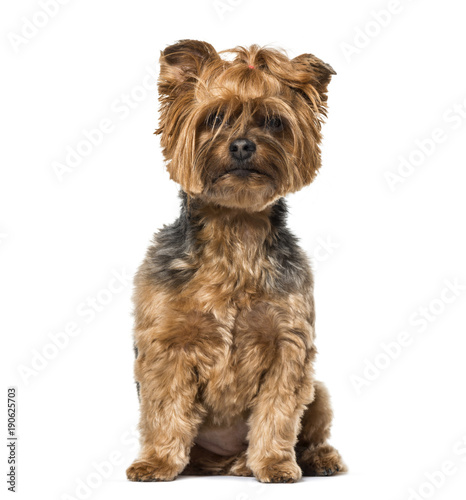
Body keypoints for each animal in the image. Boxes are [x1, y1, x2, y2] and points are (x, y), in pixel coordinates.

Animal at [125, 41, 344, 482]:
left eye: (274, 122)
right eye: (215, 118)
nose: (242, 145)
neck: (237, 229)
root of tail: (224, 463)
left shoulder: (287, 345)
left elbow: (278, 411)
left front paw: (275, 463)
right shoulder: (167, 344)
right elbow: (164, 408)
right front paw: (156, 462)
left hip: (320, 392)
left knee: (311, 428)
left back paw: (312, 458)